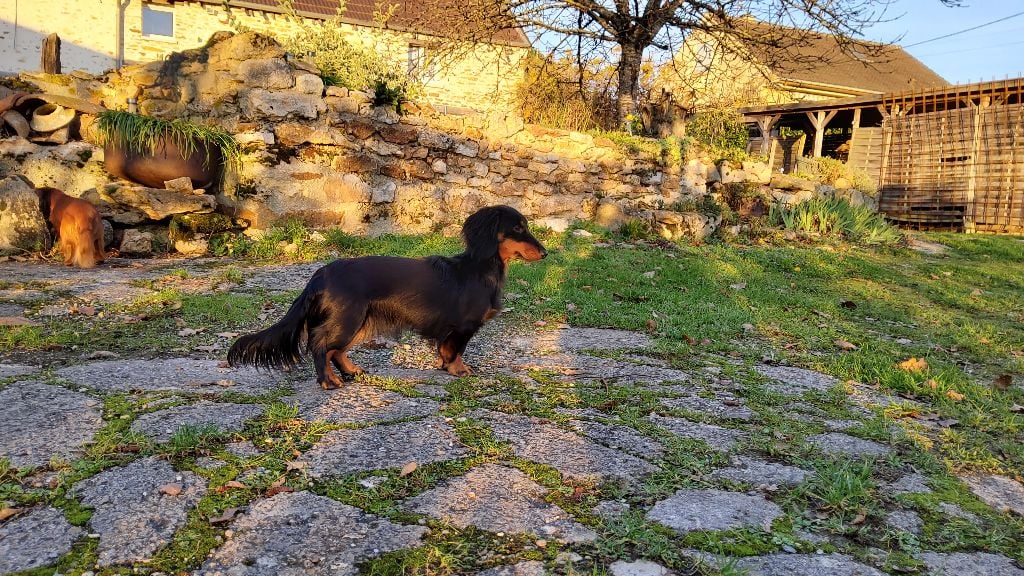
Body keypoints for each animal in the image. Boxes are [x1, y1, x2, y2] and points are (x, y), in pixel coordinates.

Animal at [228, 205, 547, 389]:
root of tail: (319, 275)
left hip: (360, 321)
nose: (546, 253)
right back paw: (328, 381)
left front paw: (448, 367)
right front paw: (458, 369)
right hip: (349, 318)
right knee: (320, 345)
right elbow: (455, 350)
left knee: (335, 350)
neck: (481, 270)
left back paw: (351, 371)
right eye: (518, 227)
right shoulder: (464, 327)